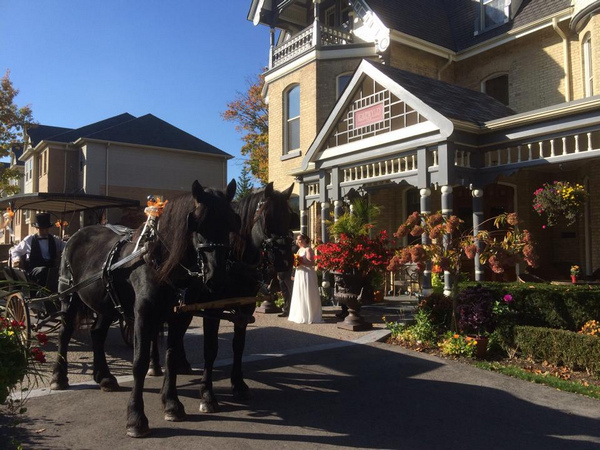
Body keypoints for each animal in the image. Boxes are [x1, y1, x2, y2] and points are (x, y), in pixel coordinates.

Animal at [49, 179, 240, 436]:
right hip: (69, 297)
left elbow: (171, 358)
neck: (161, 262)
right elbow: (139, 362)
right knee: (65, 334)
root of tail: (75, 236)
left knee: (97, 333)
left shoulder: (180, 316)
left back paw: (104, 377)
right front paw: (136, 417)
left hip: (106, 304)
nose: (216, 278)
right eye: (196, 222)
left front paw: (172, 404)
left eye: (231, 222)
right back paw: (59, 377)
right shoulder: (143, 314)